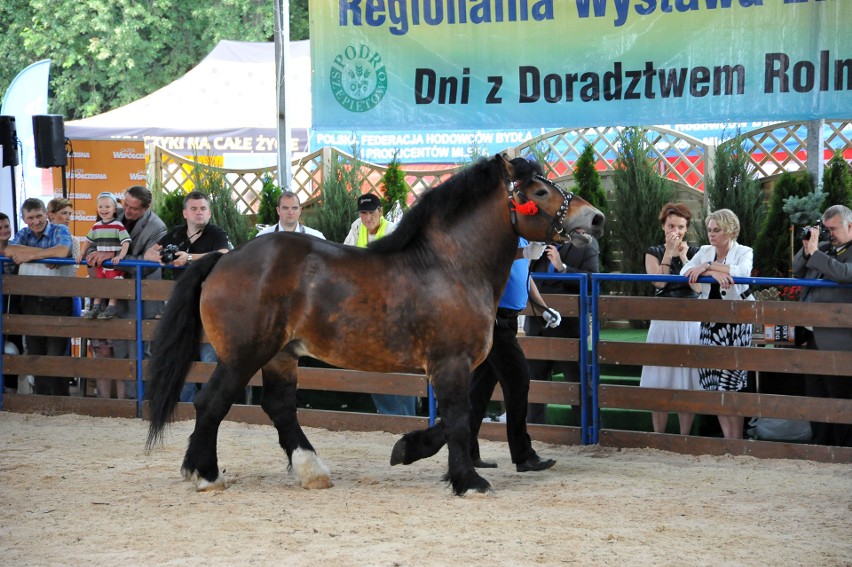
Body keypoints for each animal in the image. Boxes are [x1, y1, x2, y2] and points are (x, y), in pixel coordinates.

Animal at [146, 153, 604, 494]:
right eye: (540, 190)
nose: (595, 218)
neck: (452, 265)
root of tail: (223, 258)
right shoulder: (450, 363)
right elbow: (459, 416)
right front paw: (467, 480)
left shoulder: (459, 366)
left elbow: (463, 415)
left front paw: (409, 448)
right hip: (243, 355)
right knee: (211, 403)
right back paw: (206, 474)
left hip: (281, 355)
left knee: (279, 407)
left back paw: (311, 470)